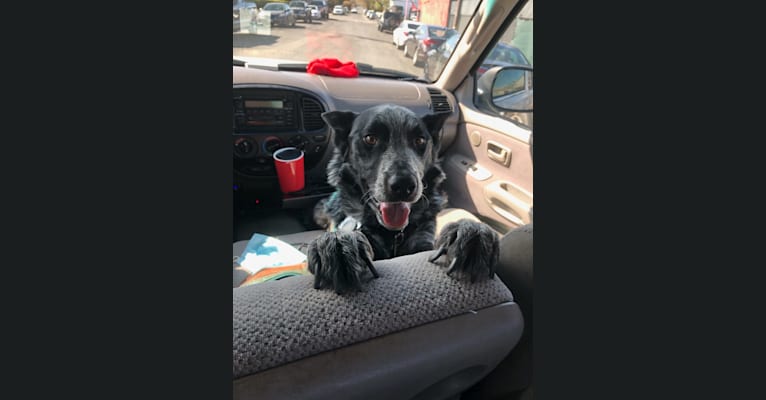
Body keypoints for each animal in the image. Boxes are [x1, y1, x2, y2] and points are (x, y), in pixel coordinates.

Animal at [308, 104, 500, 294]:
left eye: (420, 140)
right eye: (370, 138)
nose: (403, 185)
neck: (393, 234)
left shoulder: (423, 242)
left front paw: (471, 233)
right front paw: (338, 244)